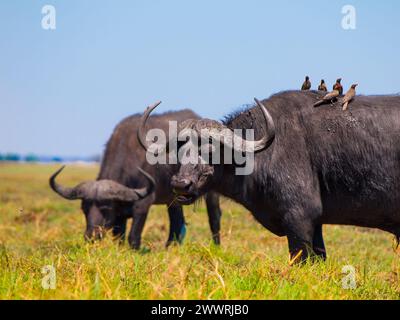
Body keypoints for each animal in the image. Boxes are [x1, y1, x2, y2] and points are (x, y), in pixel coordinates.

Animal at [50, 107, 222, 250]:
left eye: (105, 209)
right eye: (84, 209)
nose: (91, 236)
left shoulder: (142, 205)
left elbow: (133, 236)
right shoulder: (120, 215)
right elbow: (118, 237)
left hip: (210, 194)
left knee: (214, 217)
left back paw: (216, 246)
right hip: (174, 198)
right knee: (177, 221)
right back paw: (169, 247)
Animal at [139, 90, 400, 262]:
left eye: (211, 148)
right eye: (180, 148)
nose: (181, 184)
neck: (261, 155)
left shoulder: (299, 218)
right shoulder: (316, 225)